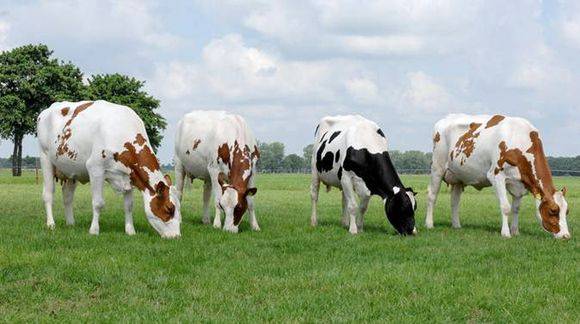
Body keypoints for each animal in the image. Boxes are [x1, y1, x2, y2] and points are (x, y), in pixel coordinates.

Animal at [36, 100, 181, 237]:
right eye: (169, 209)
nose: (176, 236)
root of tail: (48, 109)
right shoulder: (95, 168)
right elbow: (98, 203)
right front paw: (94, 230)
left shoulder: (129, 175)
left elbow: (129, 205)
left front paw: (130, 231)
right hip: (45, 158)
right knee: (48, 194)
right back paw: (51, 224)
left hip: (71, 168)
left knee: (67, 195)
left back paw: (71, 223)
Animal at [426, 113, 572, 238]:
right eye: (553, 211)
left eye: (567, 211)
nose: (566, 236)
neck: (519, 138)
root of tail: (445, 119)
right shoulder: (496, 176)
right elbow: (506, 207)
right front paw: (506, 233)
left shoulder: (519, 183)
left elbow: (516, 208)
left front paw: (515, 231)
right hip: (437, 168)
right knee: (432, 196)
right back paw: (429, 224)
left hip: (458, 176)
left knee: (455, 201)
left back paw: (456, 225)